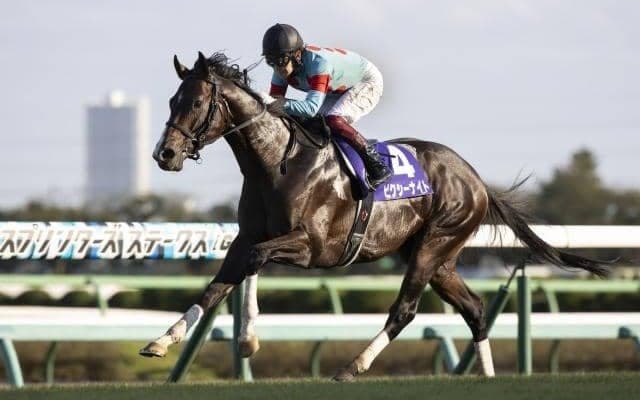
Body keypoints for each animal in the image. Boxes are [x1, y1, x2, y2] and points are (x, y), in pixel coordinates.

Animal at [140, 51, 607, 381]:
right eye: (172, 100)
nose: (164, 154)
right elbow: (216, 287)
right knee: (475, 309)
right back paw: (489, 377)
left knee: (405, 310)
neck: (275, 164)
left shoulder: (313, 247)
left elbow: (255, 261)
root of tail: (474, 179)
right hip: (437, 257)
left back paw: (353, 366)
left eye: (196, 102)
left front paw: (248, 339)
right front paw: (163, 341)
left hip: (434, 244)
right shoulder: (245, 237)